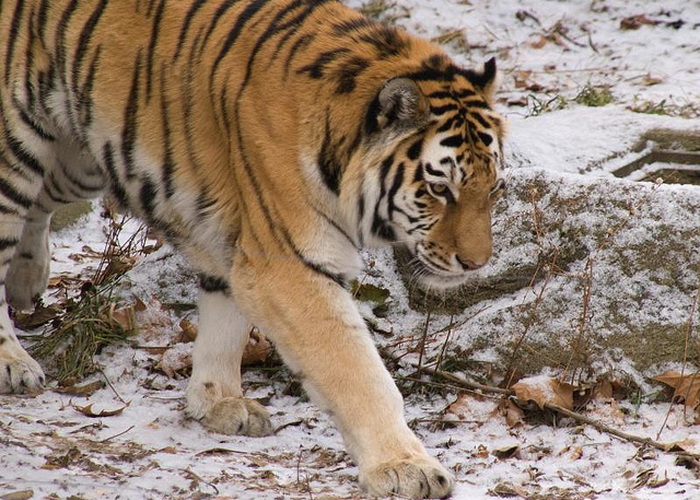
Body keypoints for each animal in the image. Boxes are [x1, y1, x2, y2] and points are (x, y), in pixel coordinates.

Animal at [0, 0, 506, 497]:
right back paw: (13, 362)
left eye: (493, 188)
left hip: (81, 156)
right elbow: (359, 372)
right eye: (439, 189)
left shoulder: (238, 241)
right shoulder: (287, 263)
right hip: (14, 152)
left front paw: (218, 400)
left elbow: (226, 322)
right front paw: (405, 467)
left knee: (41, 203)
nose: (476, 263)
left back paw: (26, 281)